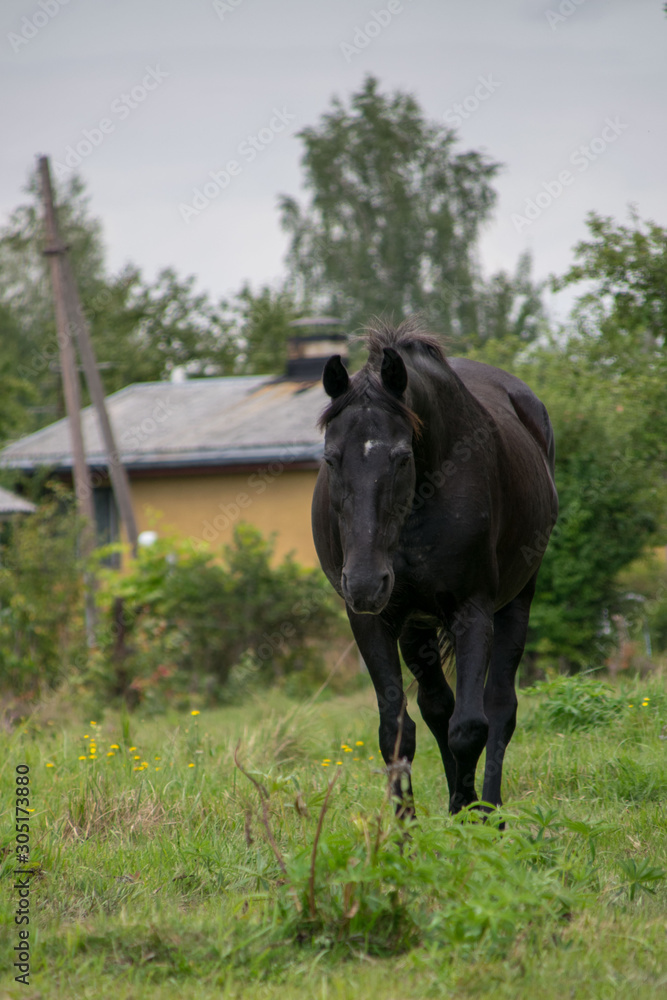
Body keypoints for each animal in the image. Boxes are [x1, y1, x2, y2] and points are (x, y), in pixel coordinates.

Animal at [314, 320, 560, 812]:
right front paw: (407, 825)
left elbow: (470, 727)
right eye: (331, 458)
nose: (365, 583)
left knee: (499, 708)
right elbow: (396, 731)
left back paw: (487, 806)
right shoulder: (372, 620)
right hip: (417, 625)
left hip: (516, 599)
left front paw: (473, 815)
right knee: (435, 707)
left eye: (401, 456)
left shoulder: (472, 610)